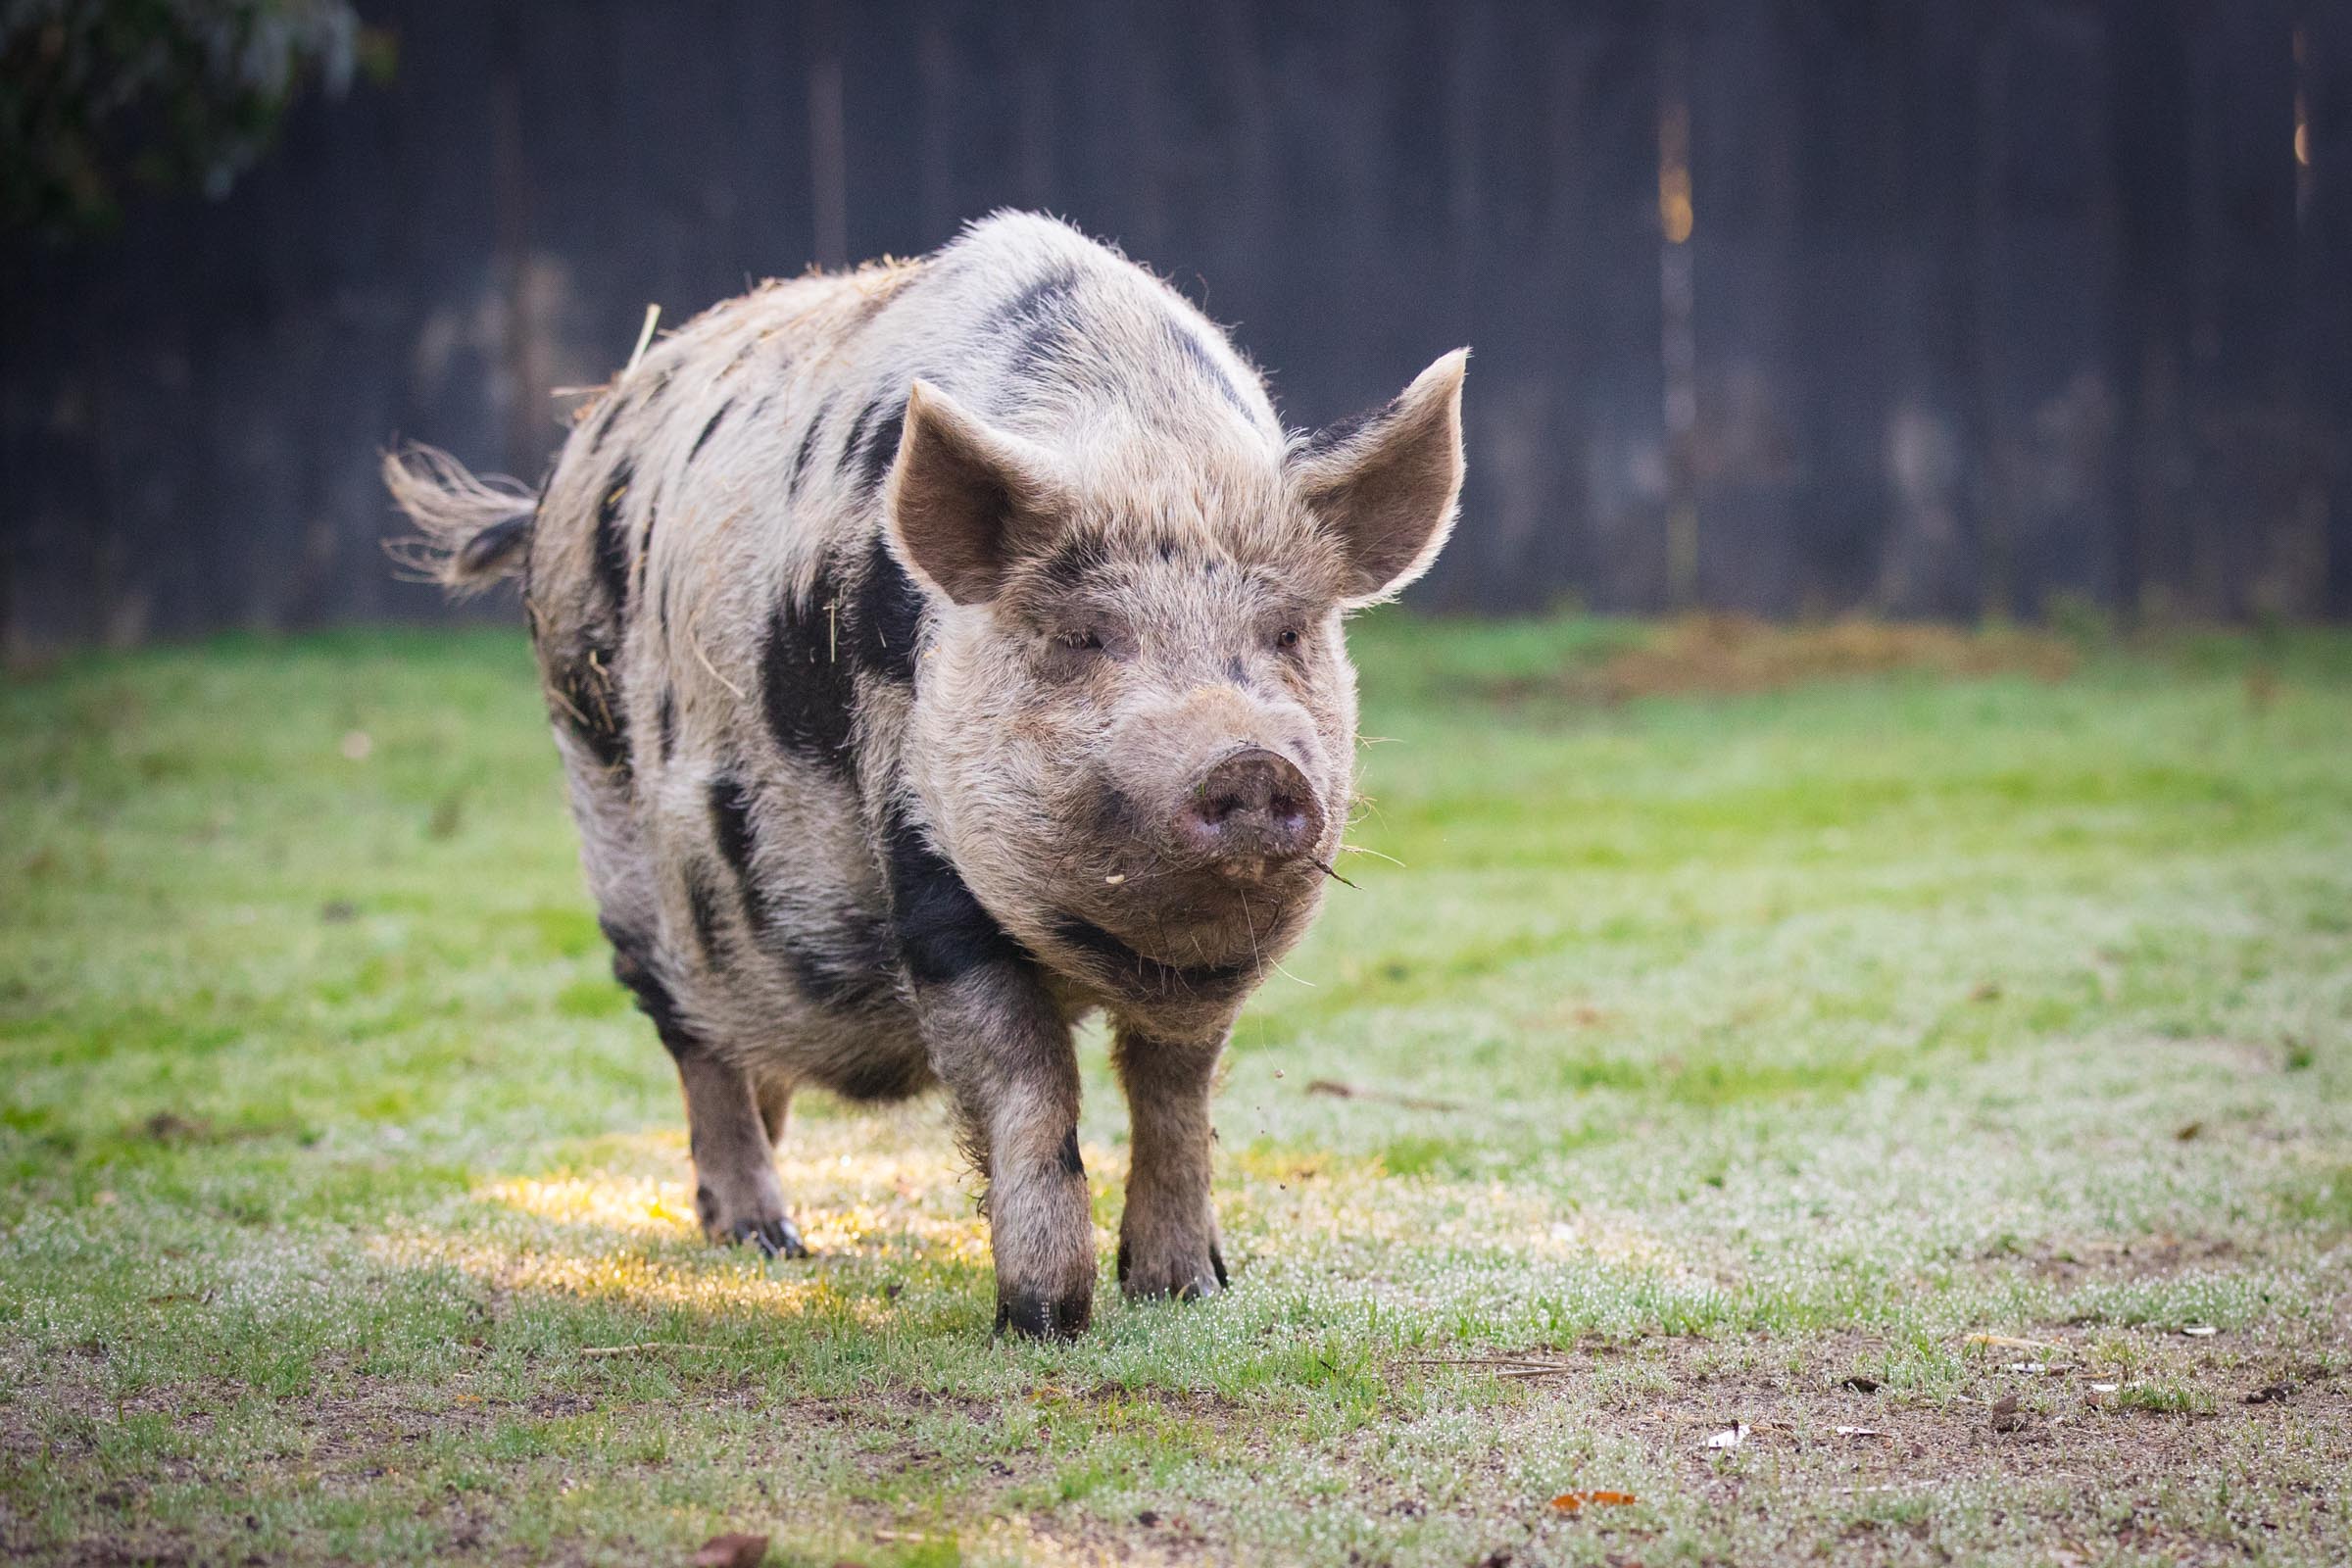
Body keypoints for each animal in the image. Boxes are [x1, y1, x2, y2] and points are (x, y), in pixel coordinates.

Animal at [392, 208, 1467, 1335]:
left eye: (1288, 632)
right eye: (1084, 636)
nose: (1250, 758)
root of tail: (564, 470)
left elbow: (1174, 1092)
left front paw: (1187, 1290)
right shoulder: (925, 864)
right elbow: (1031, 1087)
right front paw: (1043, 1320)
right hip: (613, 823)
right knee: (695, 1043)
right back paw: (769, 1240)